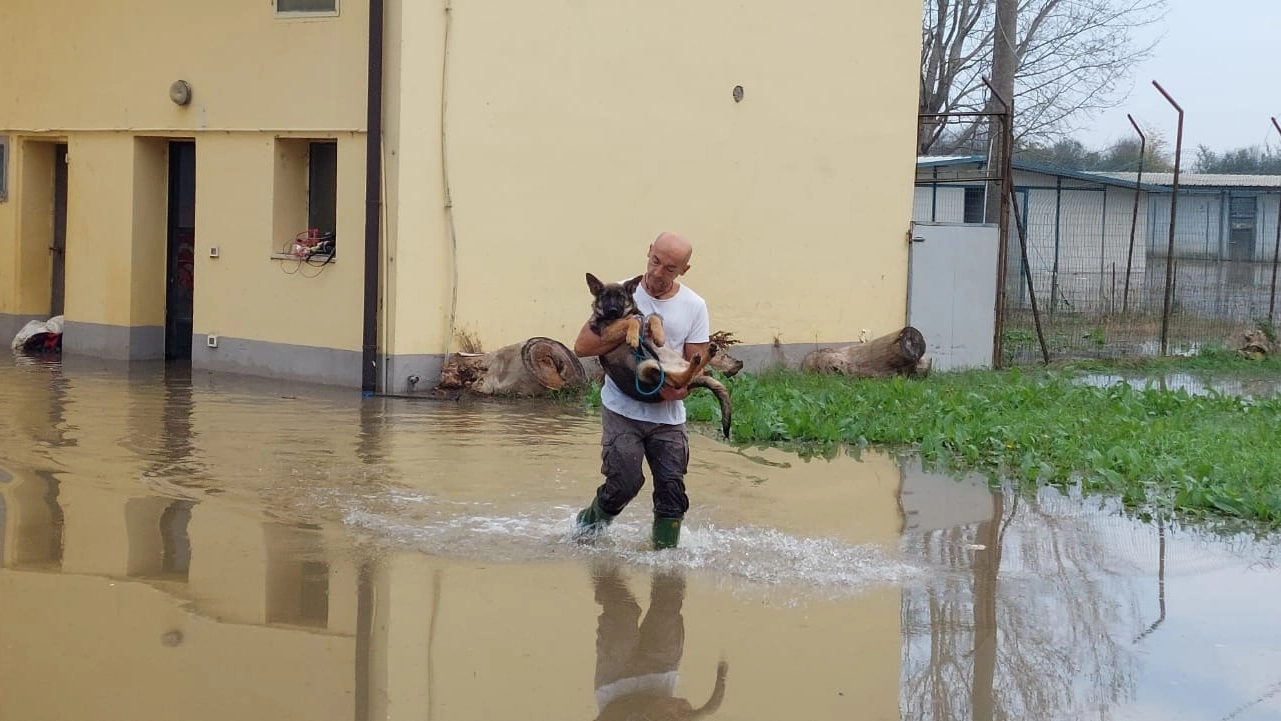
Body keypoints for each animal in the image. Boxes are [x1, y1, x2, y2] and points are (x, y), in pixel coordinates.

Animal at [586, 272, 732, 437]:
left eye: (621, 297)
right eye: (605, 297)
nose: (612, 311)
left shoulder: (641, 318)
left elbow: (652, 317)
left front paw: (658, 335)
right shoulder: (607, 332)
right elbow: (631, 321)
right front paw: (632, 336)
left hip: (668, 356)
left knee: (692, 371)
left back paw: (706, 354)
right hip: (646, 368)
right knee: (680, 380)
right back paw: (698, 360)